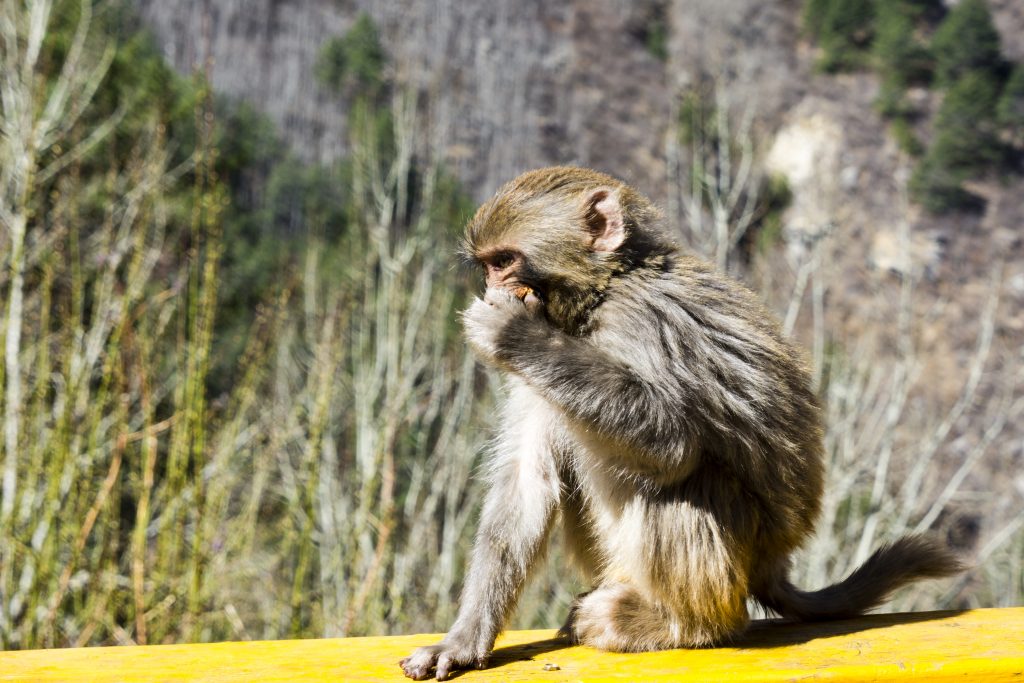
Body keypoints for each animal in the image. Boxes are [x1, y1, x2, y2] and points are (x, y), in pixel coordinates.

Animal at [397, 166, 958, 683]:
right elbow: (528, 481)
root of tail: (774, 563)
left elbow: (671, 443)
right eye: (488, 265)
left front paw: (515, 333)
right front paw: (465, 640)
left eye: (505, 261)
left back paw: (682, 626)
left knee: (680, 481)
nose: (492, 289)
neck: (606, 288)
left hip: (736, 558)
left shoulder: (639, 324)